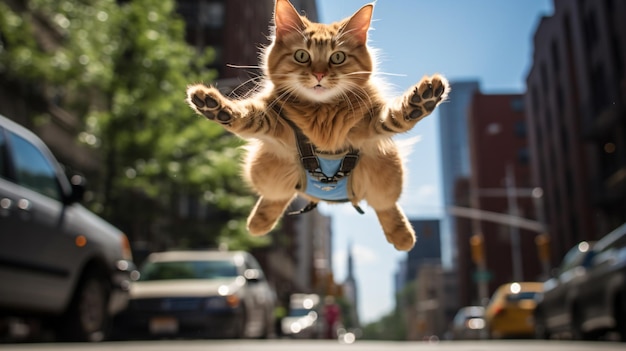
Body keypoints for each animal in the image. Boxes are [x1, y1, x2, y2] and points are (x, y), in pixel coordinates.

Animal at [183, 0, 446, 250]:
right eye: (302, 56)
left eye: (337, 57)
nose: (319, 75)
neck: (322, 113)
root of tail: (323, 197)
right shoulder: (271, 118)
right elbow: (243, 116)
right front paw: (214, 106)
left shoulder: (373, 121)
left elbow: (395, 116)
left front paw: (421, 101)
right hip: (266, 169)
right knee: (276, 197)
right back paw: (258, 223)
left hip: (387, 172)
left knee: (387, 206)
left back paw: (403, 237)